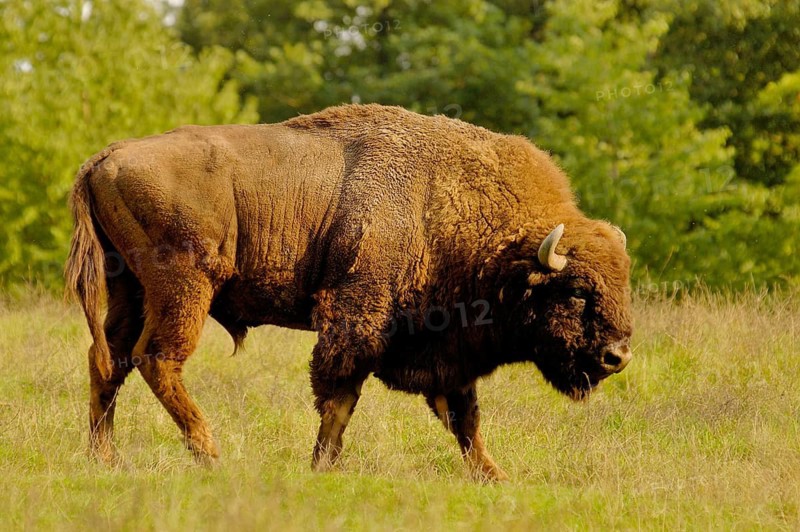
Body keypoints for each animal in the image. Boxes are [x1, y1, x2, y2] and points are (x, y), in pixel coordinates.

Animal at [65, 104, 632, 481]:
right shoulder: (355, 319)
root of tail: (105, 158)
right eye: (577, 291)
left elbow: (464, 417)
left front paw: (493, 476)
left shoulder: (446, 353)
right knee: (156, 359)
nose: (617, 355)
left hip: (128, 288)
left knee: (108, 359)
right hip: (186, 286)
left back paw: (104, 458)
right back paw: (209, 451)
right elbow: (340, 397)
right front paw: (322, 466)